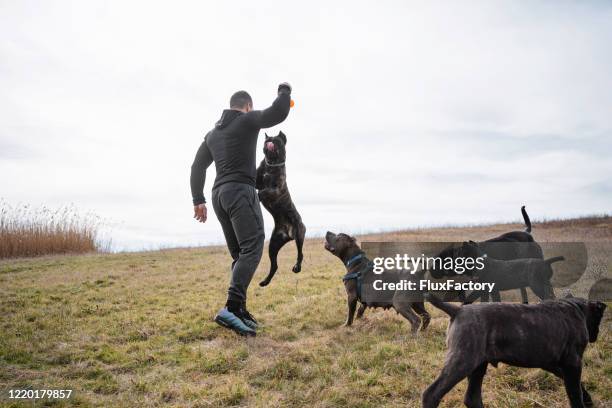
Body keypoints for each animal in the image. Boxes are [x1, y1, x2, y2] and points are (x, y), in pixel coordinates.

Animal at [256, 131, 306, 286]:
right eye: (266, 141)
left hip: (299, 234)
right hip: (273, 245)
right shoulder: (257, 180)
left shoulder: (276, 189)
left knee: (300, 253)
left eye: (276, 141)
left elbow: (264, 191)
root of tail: (288, 233)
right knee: (274, 265)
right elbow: (258, 186)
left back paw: (297, 267)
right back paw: (265, 282)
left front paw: (259, 196)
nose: (269, 143)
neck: (272, 164)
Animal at [426, 294, 608, 408]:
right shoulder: (573, 363)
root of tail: (458, 310)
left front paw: (588, 400)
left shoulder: (555, 364)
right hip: (463, 360)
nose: (596, 335)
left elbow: (577, 386)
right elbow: (574, 393)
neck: (577, 308)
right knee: (432, 393)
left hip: (478, 366)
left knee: (472, 398)